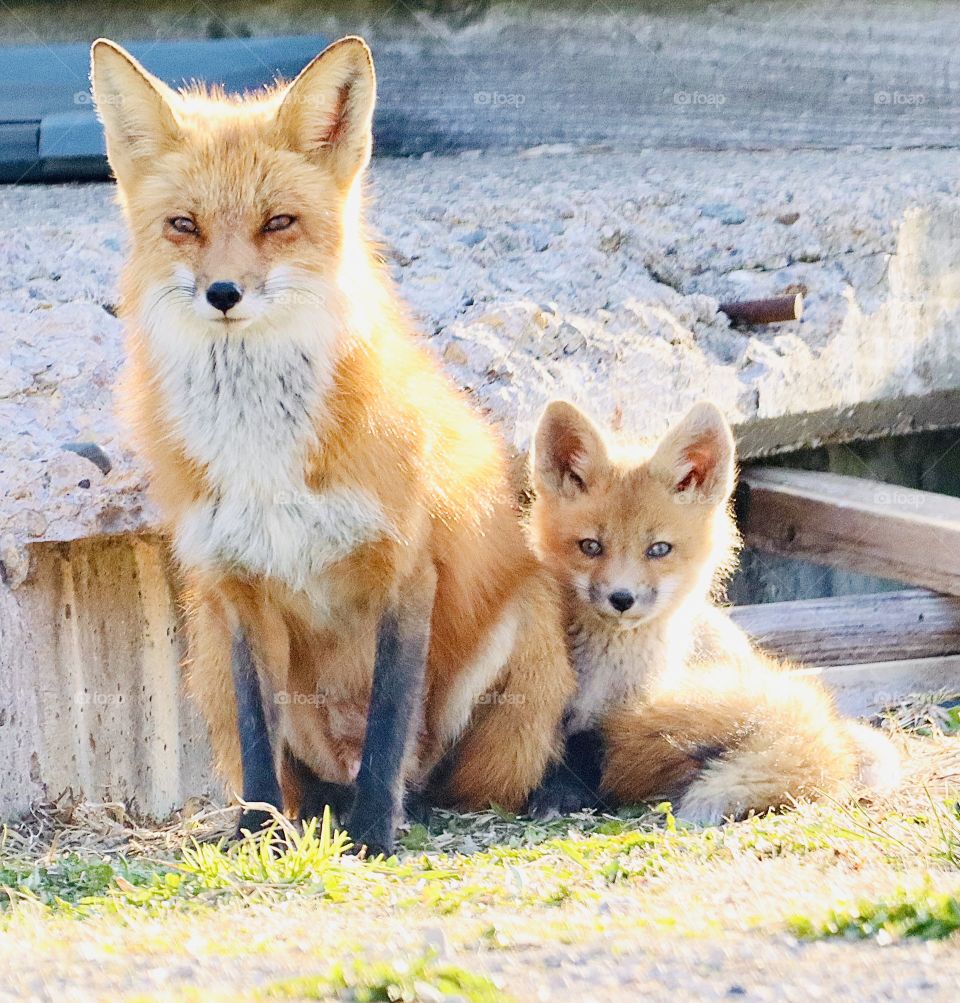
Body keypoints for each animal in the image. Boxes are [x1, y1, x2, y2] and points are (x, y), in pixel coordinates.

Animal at [91, 36, 574, 854]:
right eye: (184, 225)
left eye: (277, 222)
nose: (224, 293)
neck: (263, 452)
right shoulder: (238, 588)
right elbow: (260, 741)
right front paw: (259, 835)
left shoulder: (403, 570)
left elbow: (387, 727)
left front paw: (375, 834)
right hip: (206, 651)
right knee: (304, 773)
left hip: (525, 635)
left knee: (451, 775)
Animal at [527, 399, 900, 825]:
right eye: (590, 546)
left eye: (659, 549)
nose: (622, 599)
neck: (612, 674)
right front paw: (555, 793)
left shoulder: (634, 713)